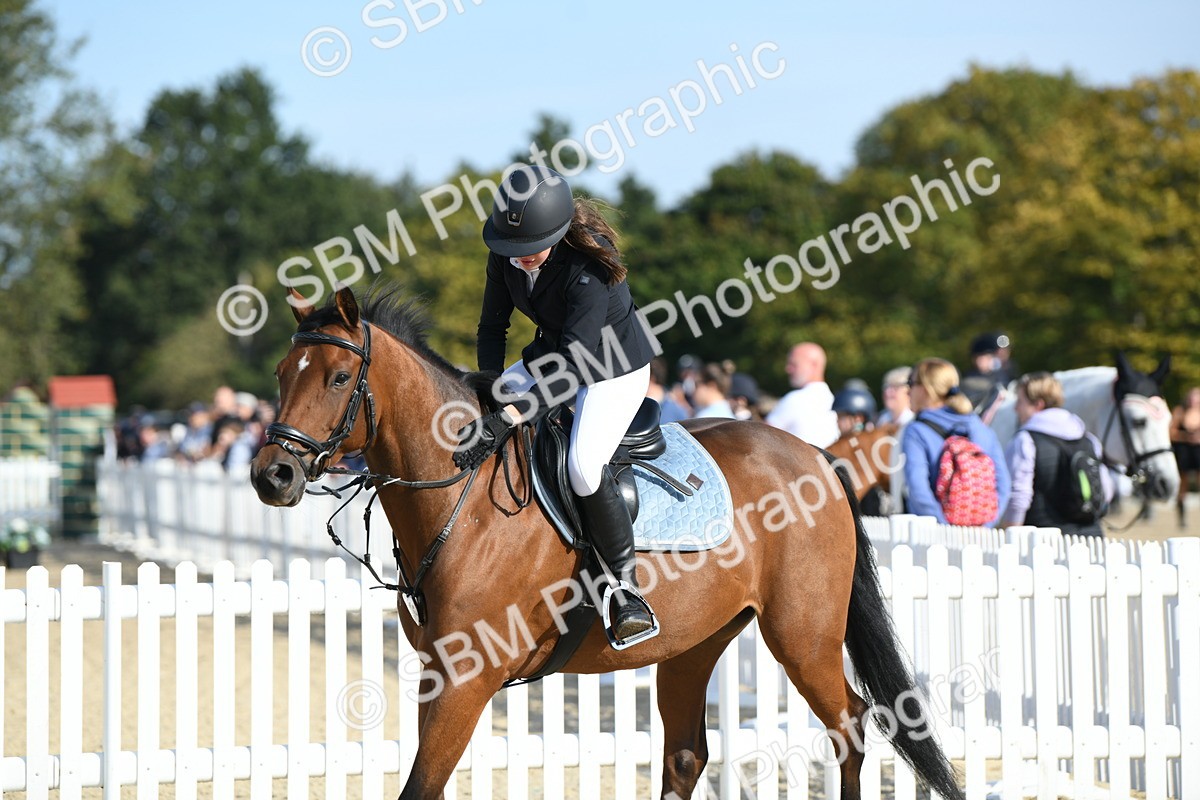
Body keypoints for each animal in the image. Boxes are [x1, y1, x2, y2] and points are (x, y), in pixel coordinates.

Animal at [250, 285, 965, 800]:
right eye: (283, 372)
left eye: (338, 379)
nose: (271, 474)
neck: (461, 495)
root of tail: (816, 454)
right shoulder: (437, 673)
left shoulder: (467, 679)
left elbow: (422, 786)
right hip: (695, 642)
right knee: (686, 756)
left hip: (802, 634)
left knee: (850, 727)